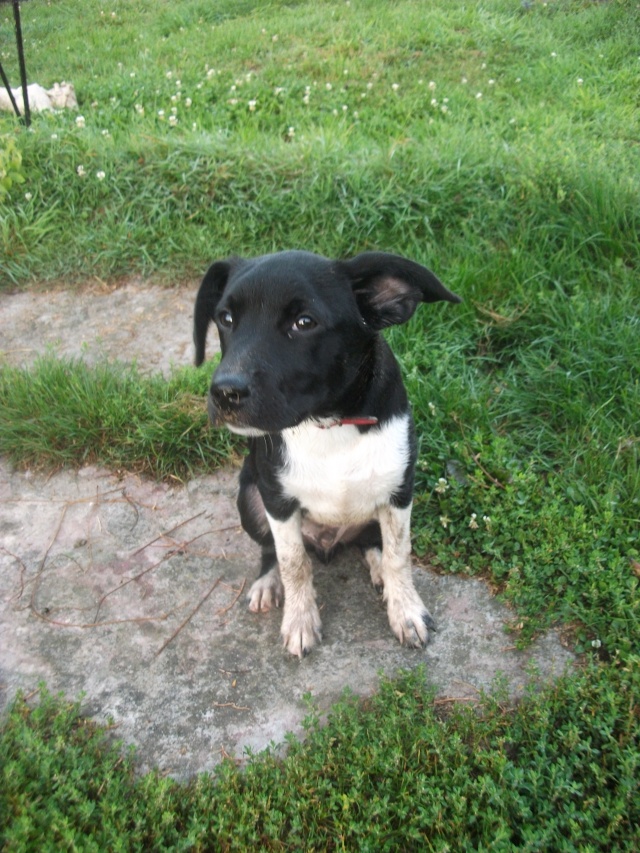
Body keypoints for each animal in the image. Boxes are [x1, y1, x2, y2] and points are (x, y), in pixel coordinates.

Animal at [194, 250, 460, 656]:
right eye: (225, 318)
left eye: (305, 322)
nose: (225, 393)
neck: (329, 422)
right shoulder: (276, 500)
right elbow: (293, 562)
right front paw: (299, 621)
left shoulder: (400, 490)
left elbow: (399, 553)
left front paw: (407, 612)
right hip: (249, 497)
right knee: (271, 550)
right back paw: (268, 582)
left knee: (372, 541)